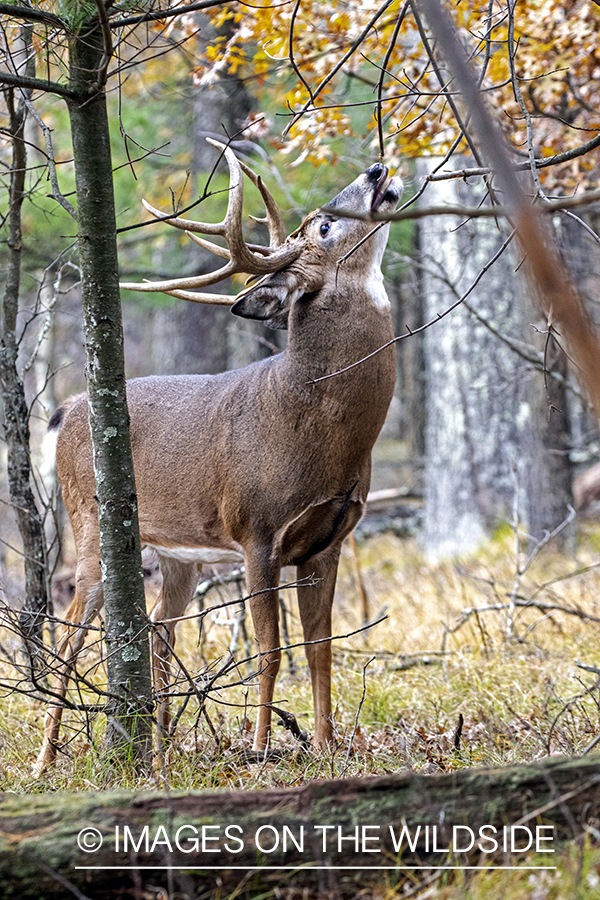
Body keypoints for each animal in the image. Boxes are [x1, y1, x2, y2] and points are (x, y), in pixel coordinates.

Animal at [35, 142, 406, 772]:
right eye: (324, 225)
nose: (377, 168)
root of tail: (67, 409)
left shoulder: (329, 539)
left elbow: (322, 649)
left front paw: (328, 749)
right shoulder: (256, 529)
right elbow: (270, 650)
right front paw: (259, 749)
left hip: (176, 553)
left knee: (160, 629)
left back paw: (160, 748)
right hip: (88, 522)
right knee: (68, 633)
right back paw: (46, 759)